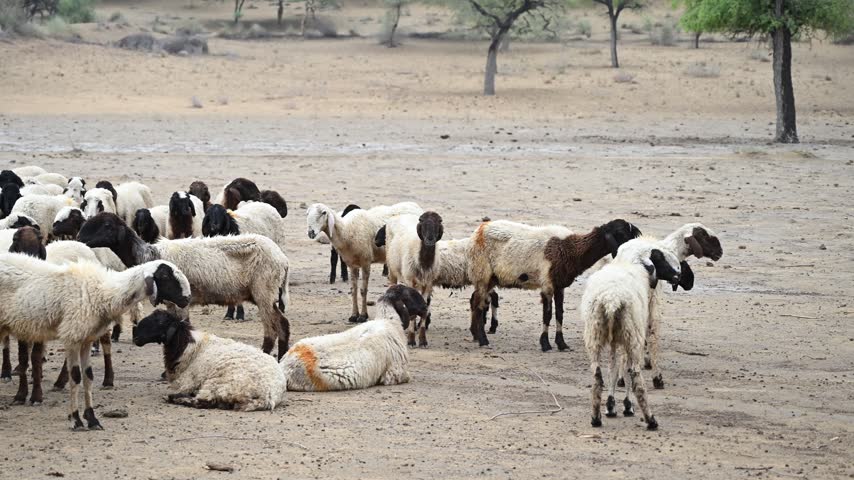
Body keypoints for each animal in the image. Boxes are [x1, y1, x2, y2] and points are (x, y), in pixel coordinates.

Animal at [0, 249, 190, 428]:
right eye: (165, 276)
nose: (187, 298)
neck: (104, 291)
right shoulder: (73, 335)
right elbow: (76, 377)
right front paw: (76, 420)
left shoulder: (86, 339)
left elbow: (88, 377)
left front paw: (92, 419)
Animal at [78, 213, 292, 358]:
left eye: (106, 225)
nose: (79, 239)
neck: (149, 255)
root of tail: (283, 260)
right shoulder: (175, 302)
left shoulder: (180, 300)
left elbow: (182, 325)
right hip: (265, 294)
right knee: (282, 325)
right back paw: (281, 358)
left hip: (264, 291)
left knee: (272, 329)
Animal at [132, 309, 287, 410]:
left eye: (159, 321)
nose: (135, 336)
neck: (187, 345)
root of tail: (268, 395)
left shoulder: (188, 382)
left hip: (220, 383)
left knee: (204, 401)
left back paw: (176, 398)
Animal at [468, 219, 641, 349]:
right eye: (622, 234)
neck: (571, 249)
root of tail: (480, 229)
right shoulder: (547, 284)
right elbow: (548, 314)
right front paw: (545, 344)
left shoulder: (559, 285)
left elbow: (559, 314)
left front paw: (562, 344)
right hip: (482, 273)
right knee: (479, 305)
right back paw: (483, 340)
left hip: (491, 278)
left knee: (475, 301)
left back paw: (475, 335)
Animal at [582, 244, 684, 431]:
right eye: (659, 257)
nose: (678, 276)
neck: (631, 263)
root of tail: (612, 299)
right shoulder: (628, 337)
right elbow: (625, 369)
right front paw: (626, 406)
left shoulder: (615, 339)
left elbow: (614, 369)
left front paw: (611, 406)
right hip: (632, 334)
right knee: (636, 376)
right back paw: (651, 420)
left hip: (595, 334)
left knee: (597, 377)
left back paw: (595, 418)